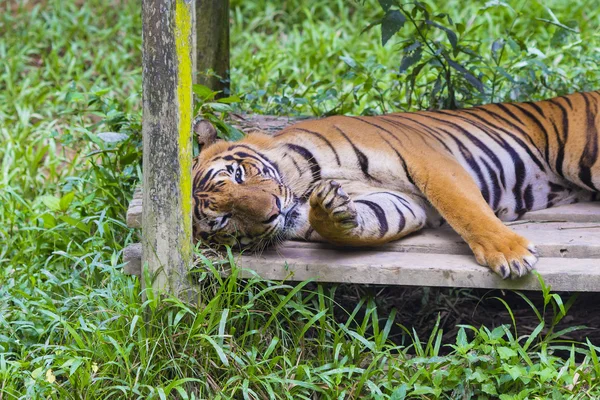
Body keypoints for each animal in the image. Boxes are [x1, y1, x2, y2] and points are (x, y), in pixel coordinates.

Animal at [193, 90, 600, 278]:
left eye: (239, 175)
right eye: (225, 220)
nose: (274, 211)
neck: (306, 181)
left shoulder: (428, 159)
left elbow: (464, 208)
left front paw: (510, 253)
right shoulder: (403, 202)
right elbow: (372, 220)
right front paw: (330, 209)